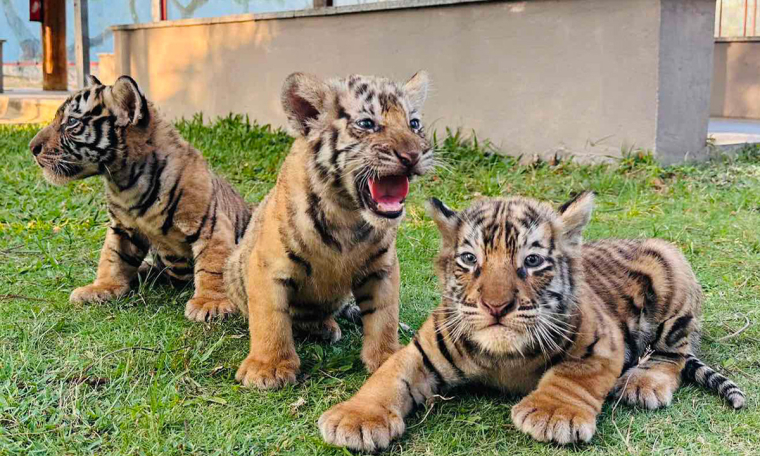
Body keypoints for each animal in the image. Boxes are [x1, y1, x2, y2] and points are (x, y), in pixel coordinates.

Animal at [28, 75, 252, 322]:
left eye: (71, 122)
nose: (32, 147)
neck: (125, 181)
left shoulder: (210, 225)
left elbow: (213, 265)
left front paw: (210, 303)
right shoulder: (122, 227)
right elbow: (112, 258)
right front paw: (102, 287)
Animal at [224, 71, 433, 390]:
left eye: (414, 123)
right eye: (367, 123)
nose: (413, 155)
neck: (348, 214)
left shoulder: (382, 268)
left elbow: (384, 315)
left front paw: (387, 358)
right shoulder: (268, 265)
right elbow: (270, 318)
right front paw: (269, 368)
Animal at [319, 192, 746, 451]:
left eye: (533, 260)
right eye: (469, 259)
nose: (496, 306)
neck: (502, 358)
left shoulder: (603, 342)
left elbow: (575, 375)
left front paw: (553, 413)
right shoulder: (420, 350)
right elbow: (387, 377)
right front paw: (355, 418)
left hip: (672, 270)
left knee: (672, 353)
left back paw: (643, 383)